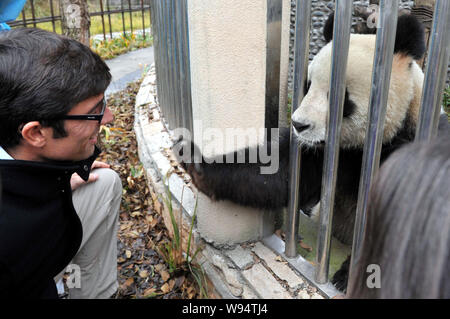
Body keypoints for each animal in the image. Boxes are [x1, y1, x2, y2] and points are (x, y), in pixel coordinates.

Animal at [172, 13, 450, 292]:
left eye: (339, 97)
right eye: (308, 86)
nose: (298, 124)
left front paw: (348, 277)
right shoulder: (329, 153)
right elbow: (281, 174)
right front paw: (193, 159)